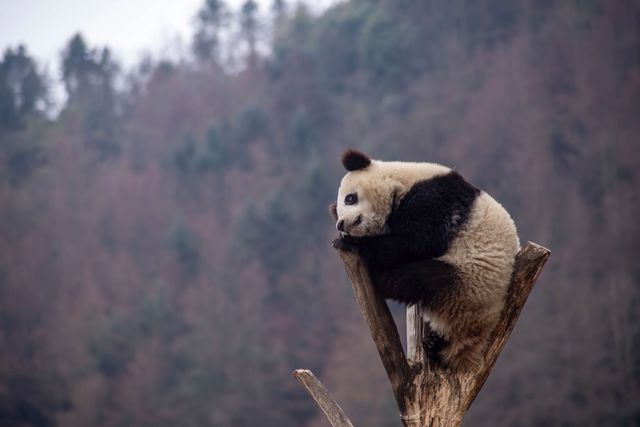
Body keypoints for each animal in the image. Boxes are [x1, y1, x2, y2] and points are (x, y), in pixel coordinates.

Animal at [330, 150, 520, 372]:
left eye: (350, 198)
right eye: (338, 210)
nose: (340, 224)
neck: (399, 182)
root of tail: (482, 327)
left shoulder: (435, 199)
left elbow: (419, 241)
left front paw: (351, 243)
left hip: (471, 282)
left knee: (421, 278)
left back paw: (381, 278)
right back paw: (434, 345)